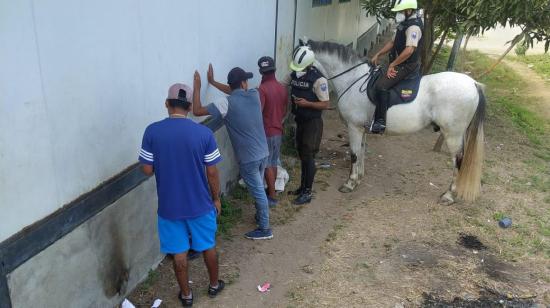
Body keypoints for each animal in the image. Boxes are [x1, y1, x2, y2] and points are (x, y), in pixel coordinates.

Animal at [308, 41, 486, 205]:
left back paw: (448, 195)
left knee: (458, 160)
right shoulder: (362, 129)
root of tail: (473, 83)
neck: (353, 80)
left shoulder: (354, 127)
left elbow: (354, 154)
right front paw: (358, 178)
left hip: (453, 134)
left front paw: (350, 183)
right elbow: (361, 152)